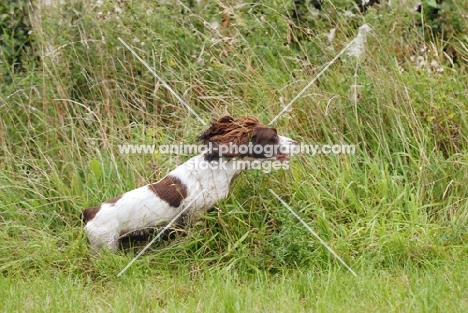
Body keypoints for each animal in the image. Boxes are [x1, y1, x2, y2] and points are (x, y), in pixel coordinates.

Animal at [83, 114, 296, 249]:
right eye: (273, 136)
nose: (296, 142)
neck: (220, 166)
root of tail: (89, 212)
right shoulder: (197, 213)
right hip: (105, 244)